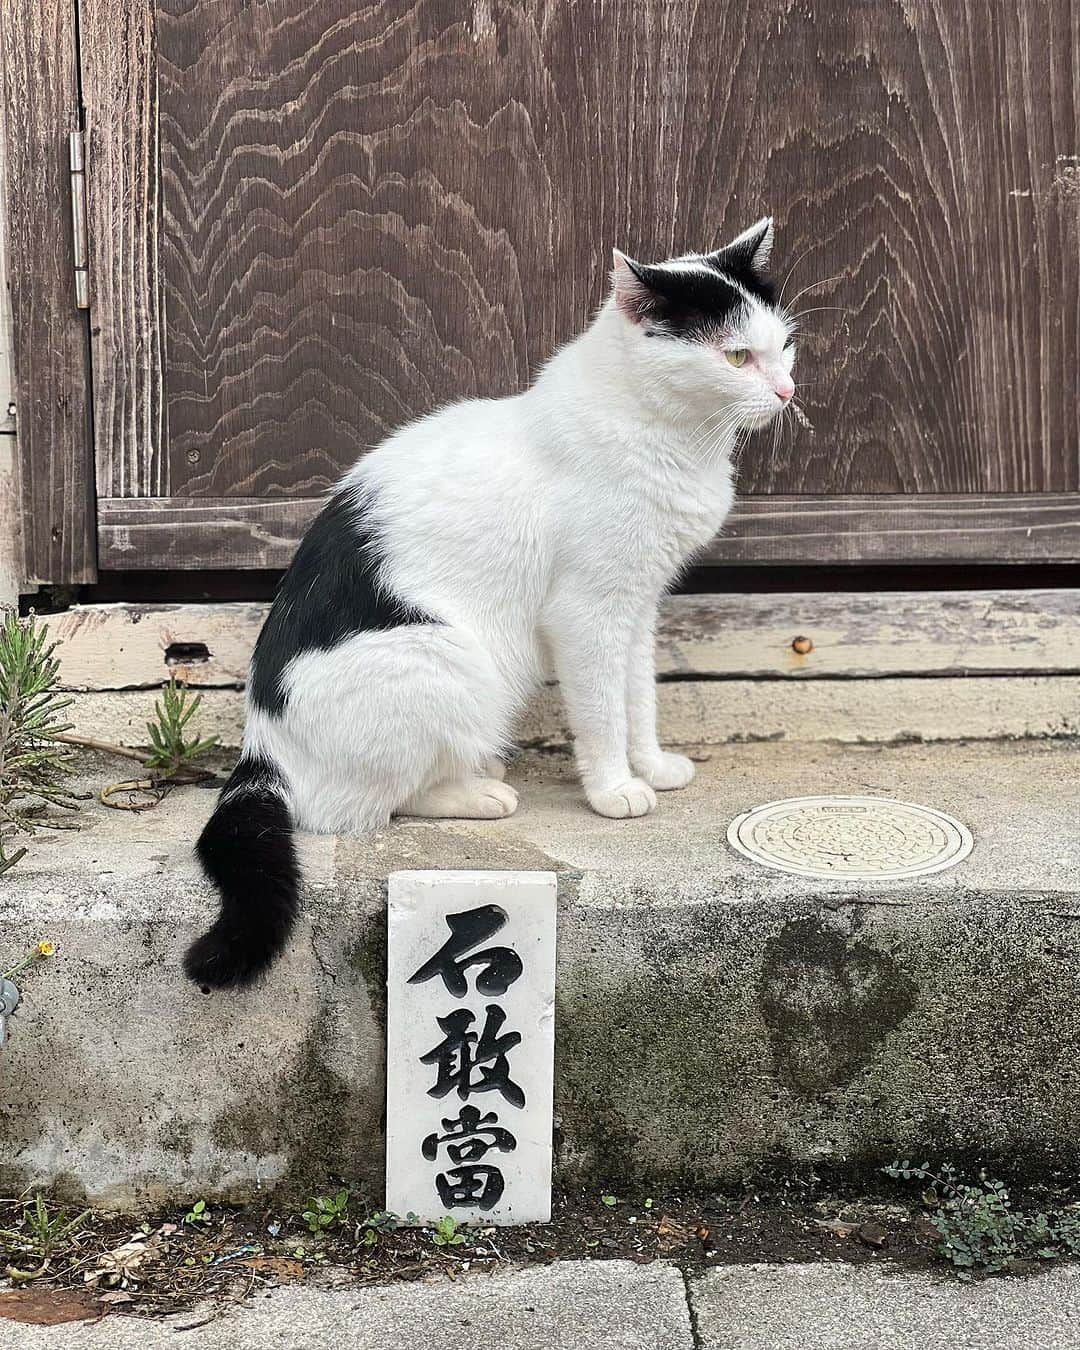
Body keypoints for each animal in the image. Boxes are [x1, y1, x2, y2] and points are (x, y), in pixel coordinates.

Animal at [186, 218, 793, 982]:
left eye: (784, 345)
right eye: (736, 356)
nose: (788, 392)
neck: (671, 436)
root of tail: (260, 748)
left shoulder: (637, 604)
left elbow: (639, 699)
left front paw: (651, 764)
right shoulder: (587, 611)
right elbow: (602, 713)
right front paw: (614, 788)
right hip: (447, 657)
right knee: (362, 806)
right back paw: (478, 791)